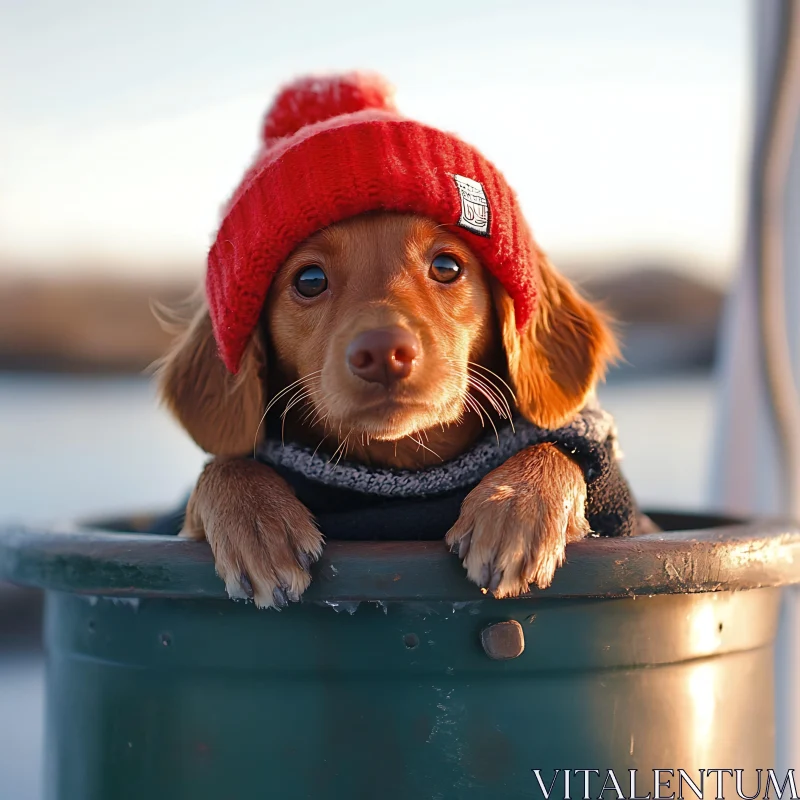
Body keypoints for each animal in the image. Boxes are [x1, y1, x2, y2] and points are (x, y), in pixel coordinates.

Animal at [156, 212, 620, 608]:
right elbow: (225, 465)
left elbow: (554, 447)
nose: (382, 352)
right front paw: (257, 521)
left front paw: (517, 505)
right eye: (310, 280)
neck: (399, 466)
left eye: (447, 267)